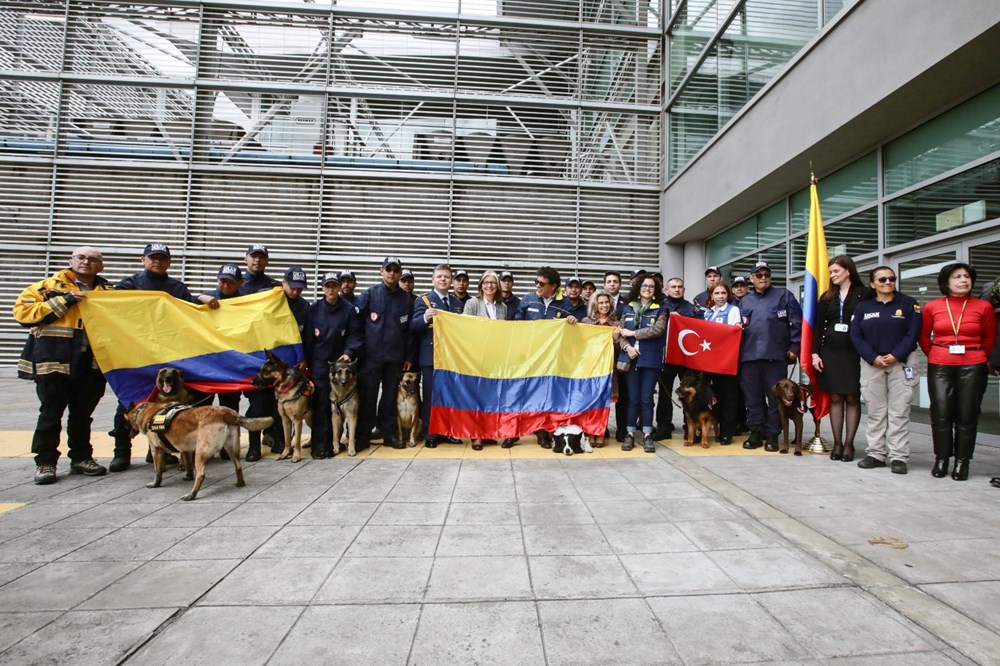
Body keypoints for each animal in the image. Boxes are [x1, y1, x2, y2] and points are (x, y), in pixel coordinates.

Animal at [127, 400, 272, 498]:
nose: (128, 433)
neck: (149, 412)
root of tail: (225, 412)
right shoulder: (186, 450)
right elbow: (188, 466)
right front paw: (188, 476)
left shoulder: (155, 450)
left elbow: (157, 471)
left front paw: (155, 484)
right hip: (231, 449)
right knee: (238, 467)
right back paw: (240, 483)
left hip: (201, 451)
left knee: (201, 474)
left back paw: (192, 494)